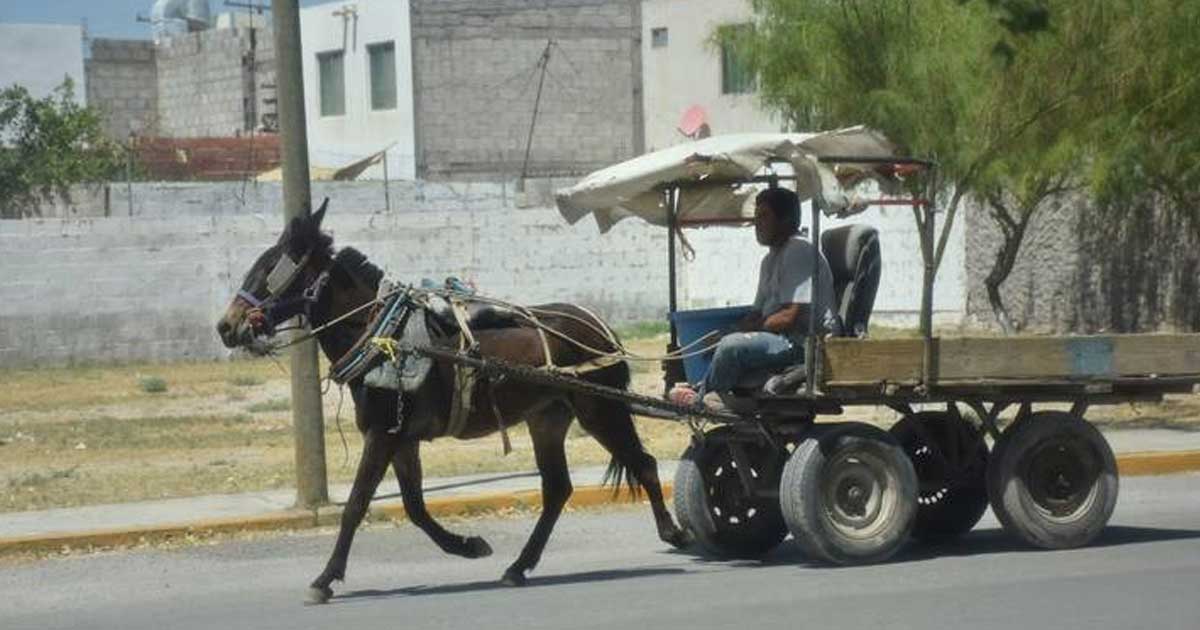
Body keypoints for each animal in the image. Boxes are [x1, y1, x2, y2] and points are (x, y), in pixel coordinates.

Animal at [211, 202, 691, 604]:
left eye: (270, 269)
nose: (226, 326)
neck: (383, 335)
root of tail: (598, 325)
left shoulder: (383, 435)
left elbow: (356, 505)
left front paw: (325, 578)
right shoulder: (400, 438)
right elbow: (414, 508)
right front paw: (468, 546)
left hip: (601, 410)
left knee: (643, 463)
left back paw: (674, 532)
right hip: (547, 419)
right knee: (558, 488)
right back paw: (519, 567)